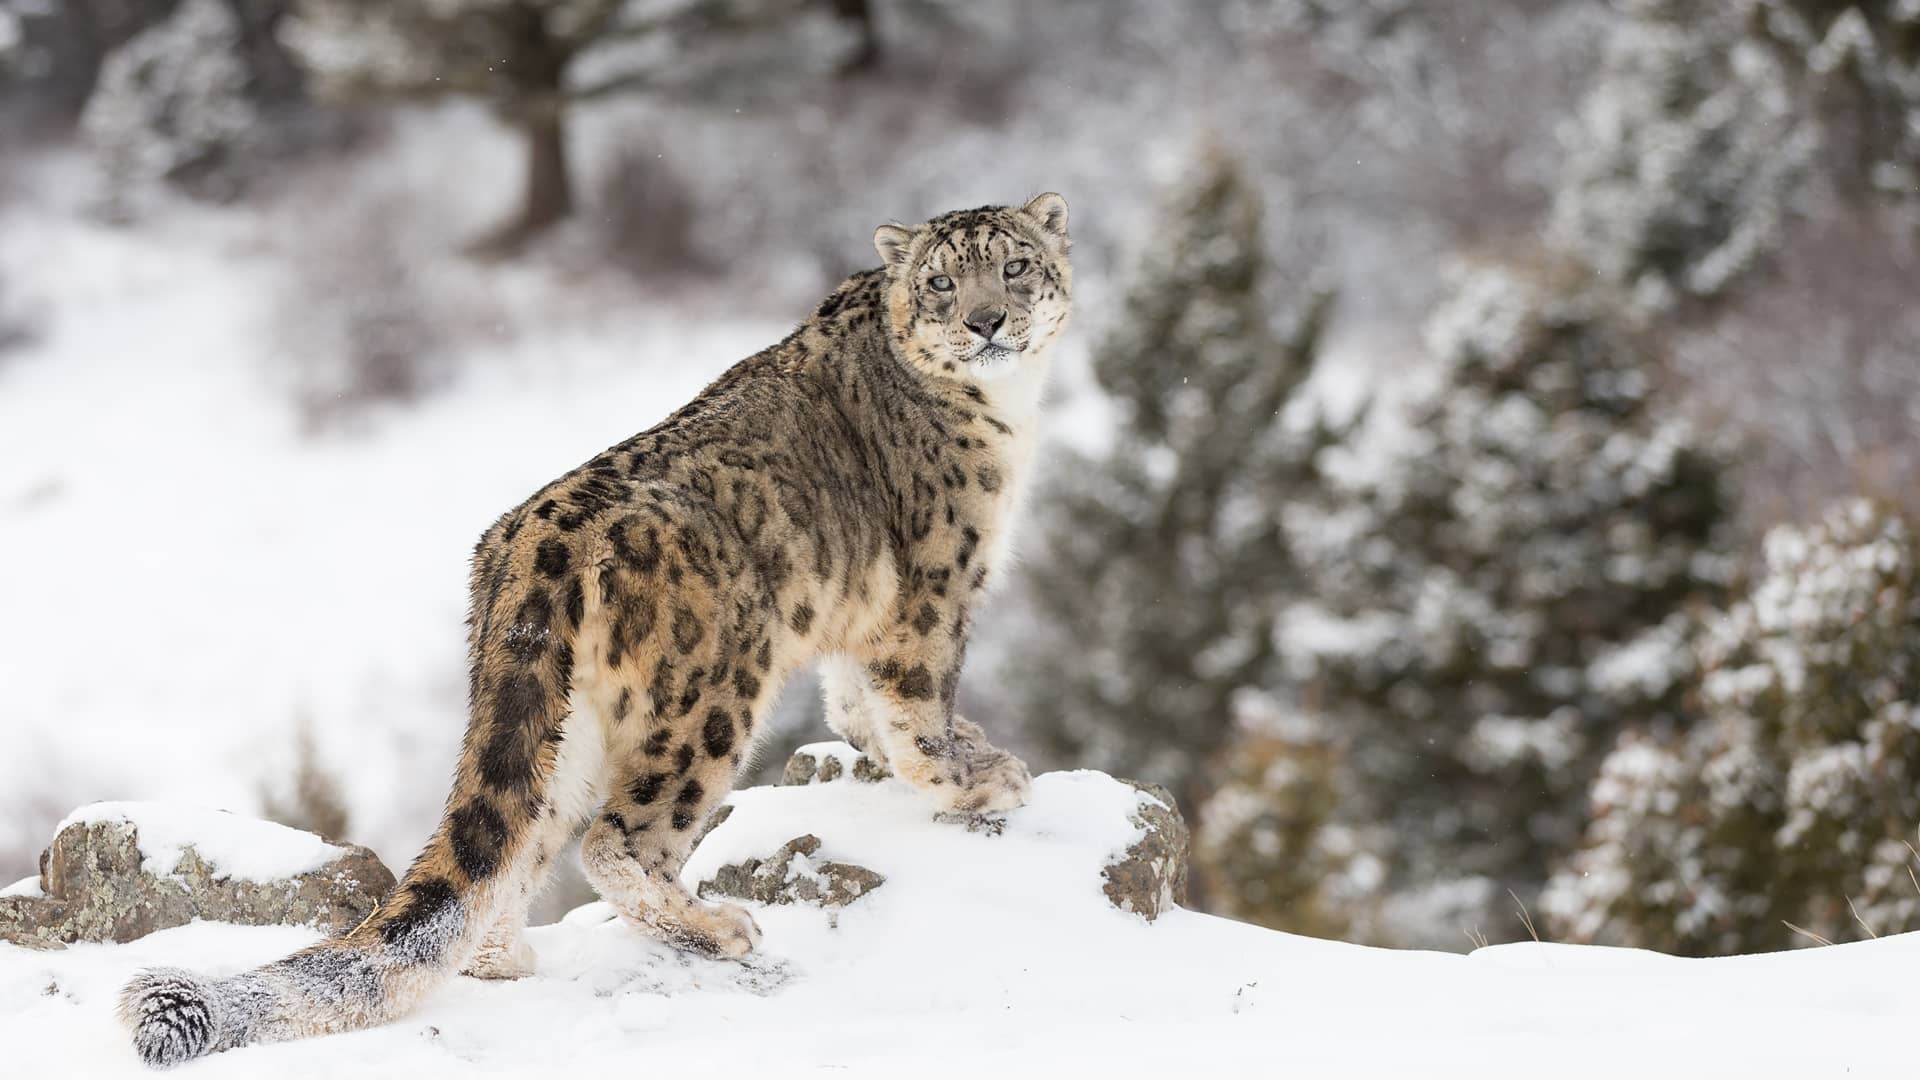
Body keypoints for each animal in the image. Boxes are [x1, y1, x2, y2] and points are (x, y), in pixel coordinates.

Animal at [120, 191, 1075, 1060]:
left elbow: (854, 703)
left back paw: (506, 959)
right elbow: (918, 706)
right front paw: (974, 780)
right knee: (618, 839)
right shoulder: (935, 588)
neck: (1008, 411)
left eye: (1015, 266)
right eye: (943, 281)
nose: (987, 320)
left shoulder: (862, 615)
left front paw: (927, 752)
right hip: (711, 697)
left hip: (559, 725)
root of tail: (529, 546)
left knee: (519, 845)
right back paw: (717, 928)